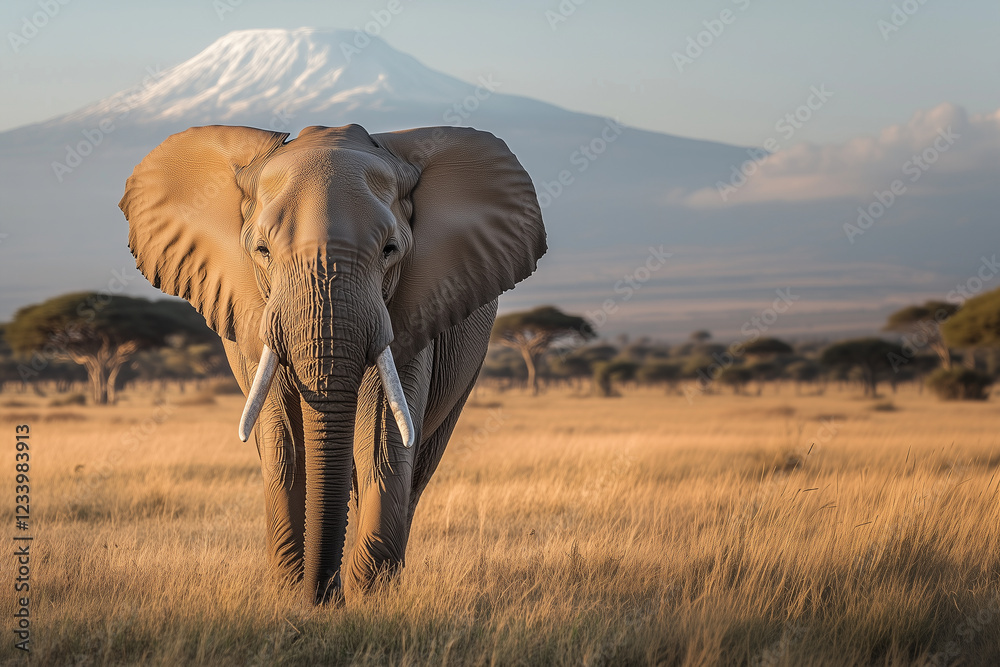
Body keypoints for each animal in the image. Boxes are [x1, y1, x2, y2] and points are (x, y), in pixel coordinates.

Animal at [118, 123, 546, 604]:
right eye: (262, 250)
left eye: (390, 250)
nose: (323, 596)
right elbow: (283, 440)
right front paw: (292, 593)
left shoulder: (414, 309)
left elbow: (383, 439)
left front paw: (370, 597)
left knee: (416, 465)